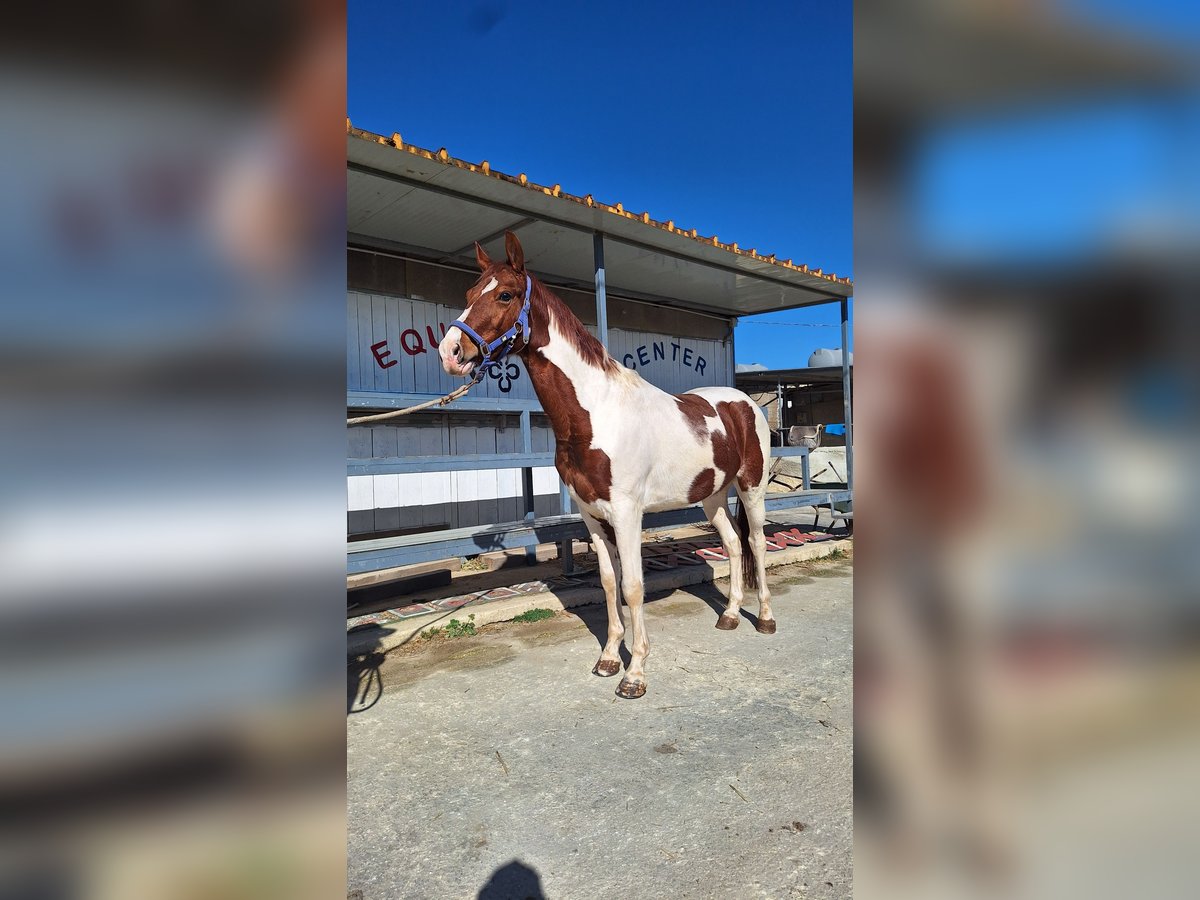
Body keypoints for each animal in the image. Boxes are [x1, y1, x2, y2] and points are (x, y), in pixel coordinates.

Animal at [438, 231, 774, 699]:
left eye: (504, 294)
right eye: (469, 294)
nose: (450, 351)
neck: (597, 414)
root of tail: (746, 402)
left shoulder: (627, 513)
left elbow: (633, 586)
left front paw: (636, 674)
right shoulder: (592, 515)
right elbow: (609, 582)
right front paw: (610, 659)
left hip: (752, 486)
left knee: (756, 543)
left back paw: (765, 619)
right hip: (712, 494)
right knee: (731, 543)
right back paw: (728, 615)